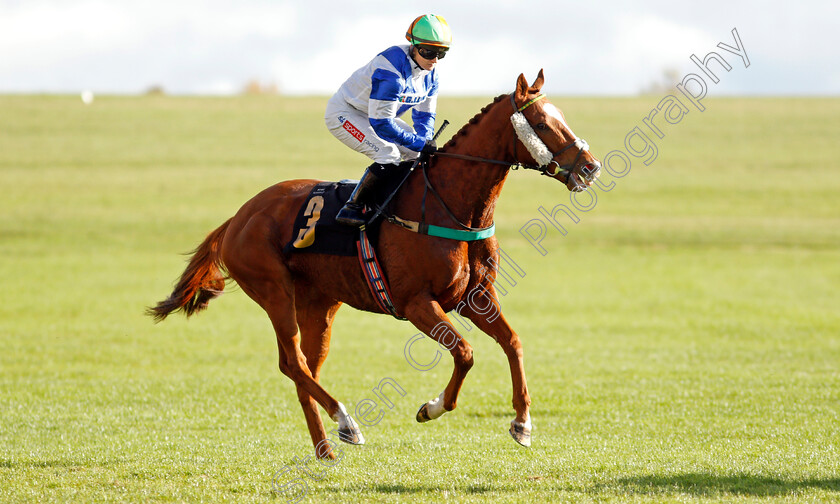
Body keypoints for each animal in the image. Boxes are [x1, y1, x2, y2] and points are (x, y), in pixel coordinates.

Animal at [148, 69, 600, 458]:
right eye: (542, 124)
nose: (590, 167)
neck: (451, 206)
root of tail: (238, 217)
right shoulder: (417, 303)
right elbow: (466, 352)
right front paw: (431, 407)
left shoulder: (475, 296)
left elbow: (513, 342)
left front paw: (522, 423)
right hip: (274, 291)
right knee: (292, 362)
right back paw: (346, 422)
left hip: (320, 303)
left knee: (304, 369)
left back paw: (325, 448)